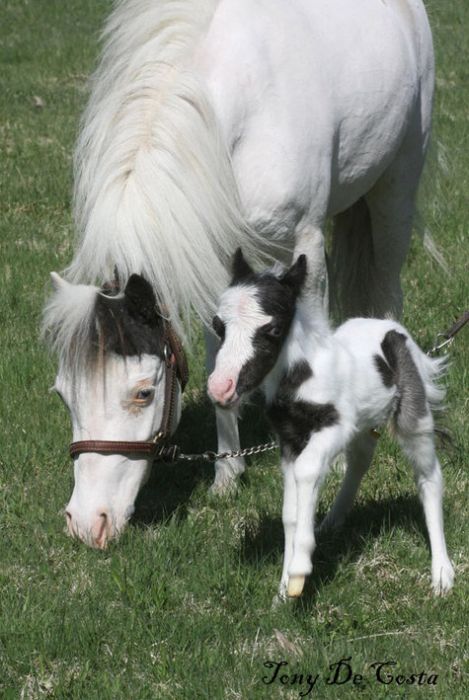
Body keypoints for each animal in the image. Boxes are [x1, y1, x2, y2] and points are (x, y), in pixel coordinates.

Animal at [42, 0, 434, 548]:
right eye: (63, 393)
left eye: (143, 392)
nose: (85, 523)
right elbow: (218, 364)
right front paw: (227, 474)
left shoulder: (306, 247)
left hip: (396, 188)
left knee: (387, 283)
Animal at [207, 249, 454, 600]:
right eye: (219, 327)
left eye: (273, 330)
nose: (220, 389)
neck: (302, 375)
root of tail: (392, 327)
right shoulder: (289, 440)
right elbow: (289, 512)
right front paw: (283, 589)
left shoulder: (334, 426)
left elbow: (308, 471)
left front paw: (299, 570)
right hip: (364, 422)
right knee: (361, 458)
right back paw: (333, 521)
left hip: (412, 415)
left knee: (429, 475)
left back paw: (442, 573)